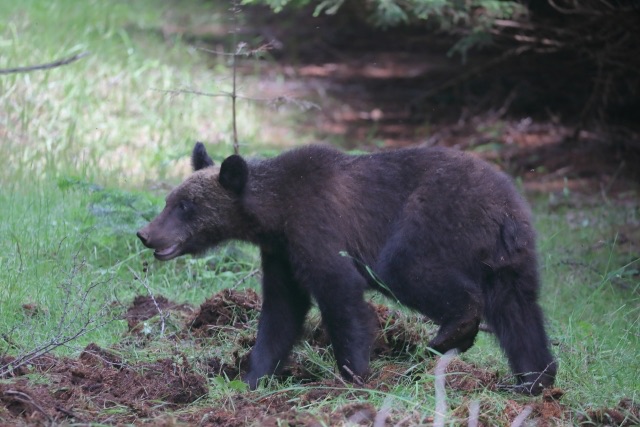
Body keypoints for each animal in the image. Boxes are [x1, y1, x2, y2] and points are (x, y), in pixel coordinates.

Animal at [138, 142, 556, 396]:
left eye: (186, 206)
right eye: (171, 199)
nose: (146, 234)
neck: (275, 213)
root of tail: (504, 208)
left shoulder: (317, 225)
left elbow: (340, 293)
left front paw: (351, 376)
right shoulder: (281, 253)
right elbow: (280, 312)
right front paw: (252, 377)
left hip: (434, 218)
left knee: (406, 269)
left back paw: (449, 335)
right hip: (510, 260)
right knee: (520, 315)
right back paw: (536, 382)